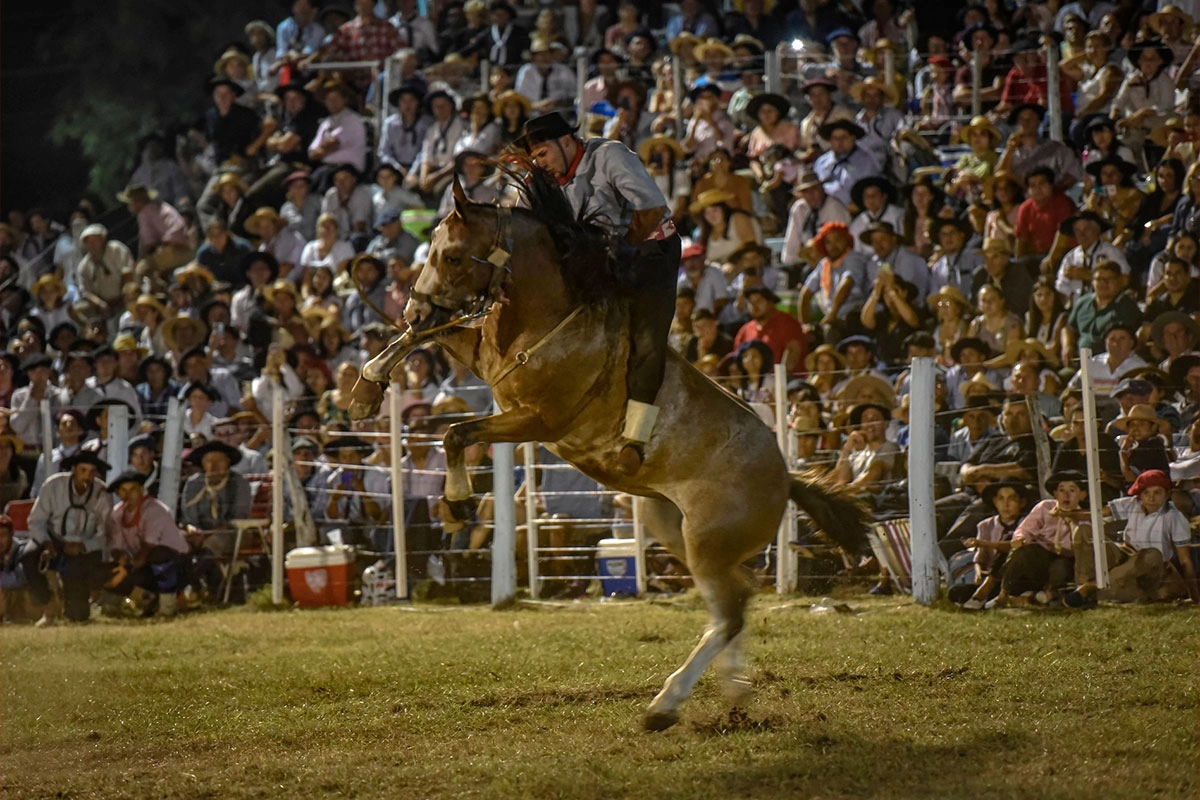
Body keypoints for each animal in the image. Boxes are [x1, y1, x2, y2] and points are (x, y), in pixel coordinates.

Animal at [350, 175, 868, 734]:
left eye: (452, 256)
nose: (413, 306)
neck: (547, 319)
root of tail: (785, 477)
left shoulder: (540, 420)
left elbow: (455, 432)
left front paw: (458, 502)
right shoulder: (482, 358)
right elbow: (428, 338)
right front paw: (366, 387)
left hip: (706, 542)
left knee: (729, 613)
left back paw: (665, 705)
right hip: (671, 524)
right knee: (736, 606)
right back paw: (733, 696)